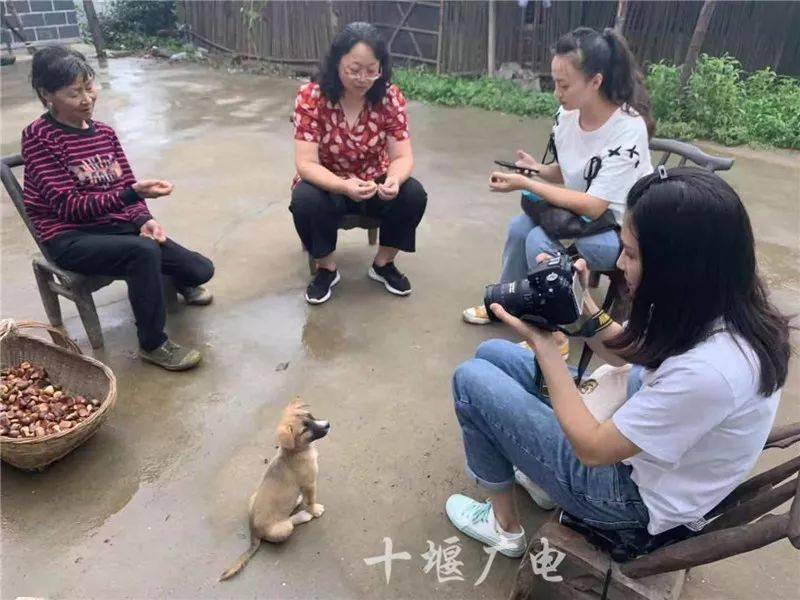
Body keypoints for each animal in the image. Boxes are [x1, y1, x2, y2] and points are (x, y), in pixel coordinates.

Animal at [219, 398, 328, 580]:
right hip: (283, 529)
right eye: (305, 429)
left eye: (311, 416)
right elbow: (311, 500)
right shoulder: (309, 484)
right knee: (290, 522)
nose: (328, 424)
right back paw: (303, 515)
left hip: (253, 497)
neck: (295, 451)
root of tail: (253, 532)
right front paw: (314, 510)